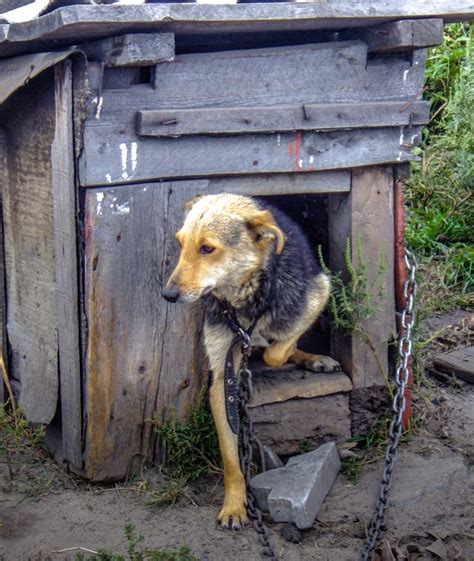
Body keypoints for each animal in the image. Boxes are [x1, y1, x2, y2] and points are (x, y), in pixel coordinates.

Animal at [161, 192, 338, 528]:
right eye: (180, 244)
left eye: (207, 248)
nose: (167, 295)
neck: (243, 301)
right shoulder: (222, 379)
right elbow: (231, 458)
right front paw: (234, 505)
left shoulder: (320, 291)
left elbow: (276, 352)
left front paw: (270, 347)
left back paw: (311, 358)